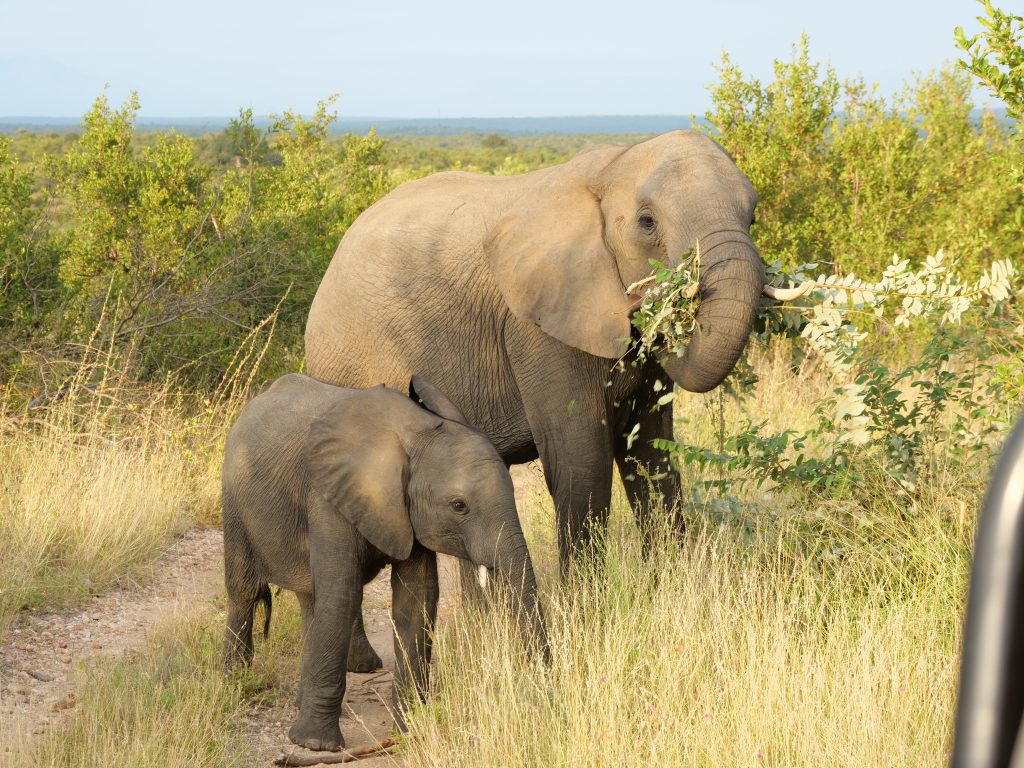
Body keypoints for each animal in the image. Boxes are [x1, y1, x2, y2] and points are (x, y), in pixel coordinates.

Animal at [221, 373, 545, 752]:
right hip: (234, 502)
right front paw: (317, 746)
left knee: (310, 600)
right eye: (459, 506)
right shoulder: (328, 495)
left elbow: (417, 598)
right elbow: (342, 593)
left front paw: (410, 731)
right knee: (244, 591)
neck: (416, 433)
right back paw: (235, 684)